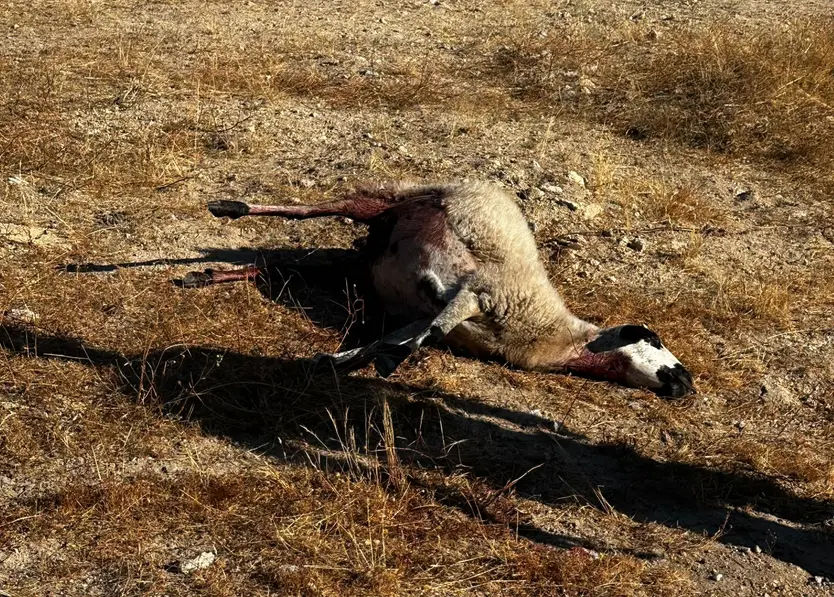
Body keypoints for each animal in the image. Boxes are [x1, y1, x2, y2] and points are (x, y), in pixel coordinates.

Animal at [185, 181, 694, 397]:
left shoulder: (426, 315)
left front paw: (336, 360)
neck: (555, 335)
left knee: (282, 269)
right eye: (653, 338)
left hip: (357, 270)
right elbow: (433, 325)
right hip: (396, 202)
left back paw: (205, 276)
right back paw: (228, 208)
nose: (687, 382)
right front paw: (385, 361)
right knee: (322, 206)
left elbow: (395, 338)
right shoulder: (479, 292)